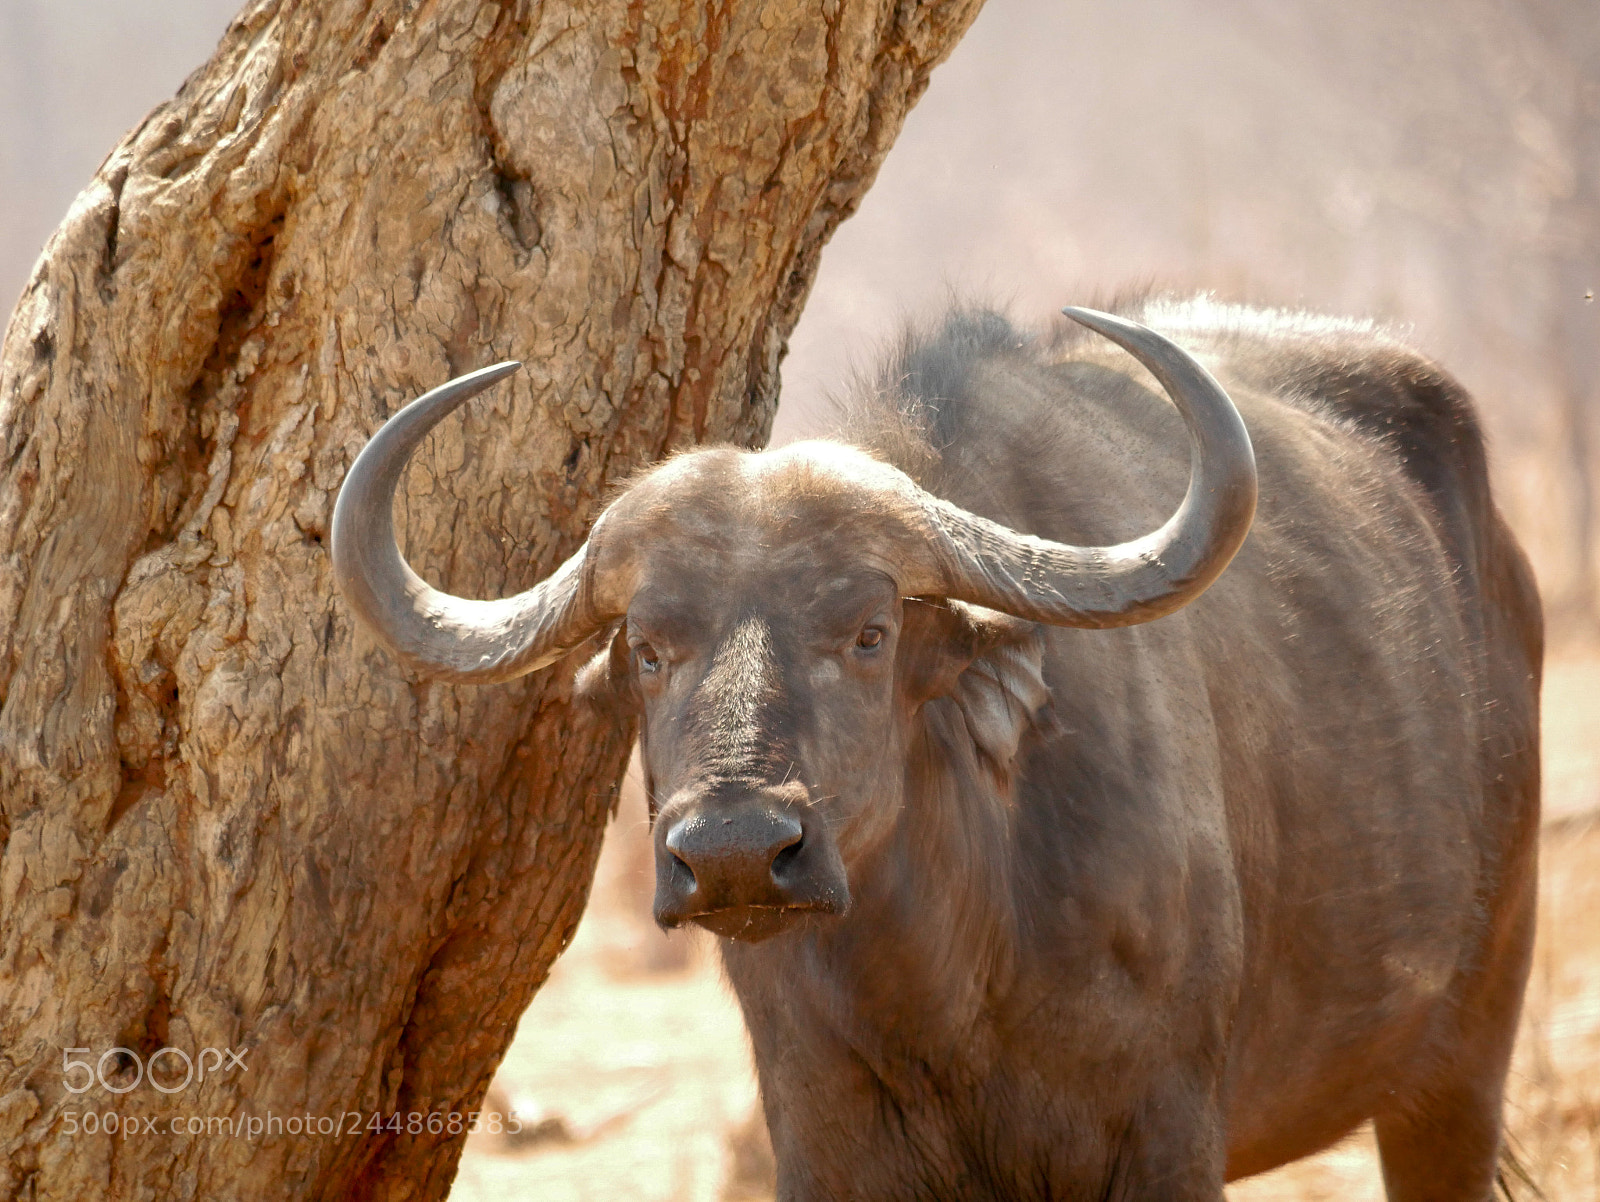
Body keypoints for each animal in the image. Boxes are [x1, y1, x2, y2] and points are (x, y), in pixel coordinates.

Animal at [333, 300, 1541, 1199]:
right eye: (647, 647)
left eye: (869, 631)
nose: (733, 852)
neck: (952, 980)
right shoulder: (825, 1144)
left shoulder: (1164, 1142)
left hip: (1463, 1066)